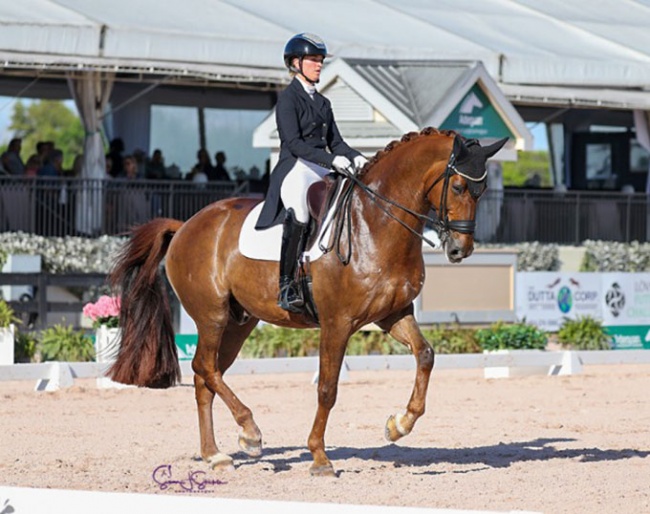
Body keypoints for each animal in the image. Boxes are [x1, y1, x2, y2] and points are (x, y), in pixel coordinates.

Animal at [107, 127, 506, 476]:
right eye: (458, 186)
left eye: (483, 189)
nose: (460, 250)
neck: (375, 222)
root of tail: (186, 225)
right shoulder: (337, 323)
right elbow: (327, 389)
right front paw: (319, 458)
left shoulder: (393, 314)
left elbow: (425, 355)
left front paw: (398, 425)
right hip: (211, 315)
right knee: (205, 367)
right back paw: (249, 432)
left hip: (238, 323)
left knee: (206, 375)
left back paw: (215, 454)